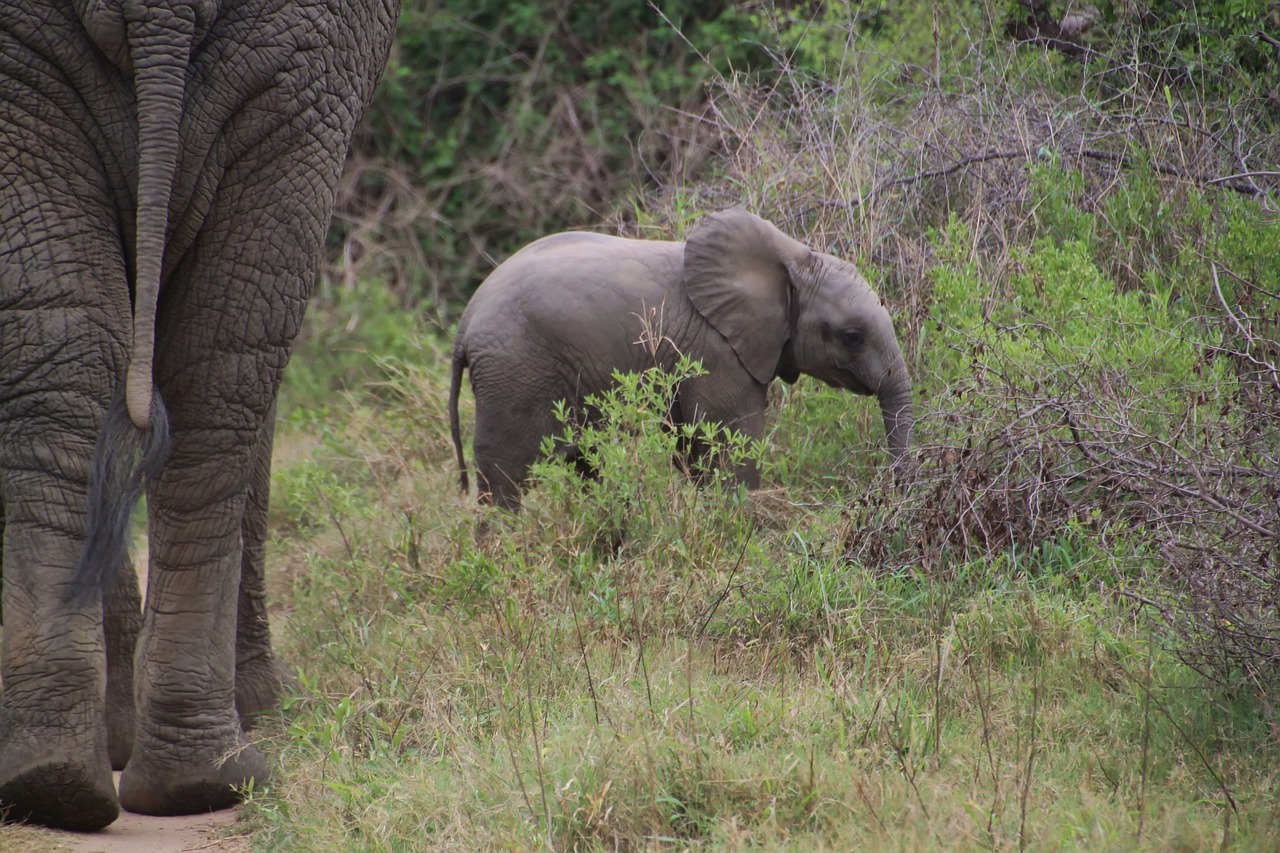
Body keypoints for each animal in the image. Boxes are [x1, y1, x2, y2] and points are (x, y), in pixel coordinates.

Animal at [447, 208, 914, 511]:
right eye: (853, 337)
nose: (890, 497)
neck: (794, 257)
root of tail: (465, 323)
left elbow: (693, 449)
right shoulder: (717, 352)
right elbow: (731, 447)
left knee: (584, 462)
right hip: (515, 371)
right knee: (505, 475)